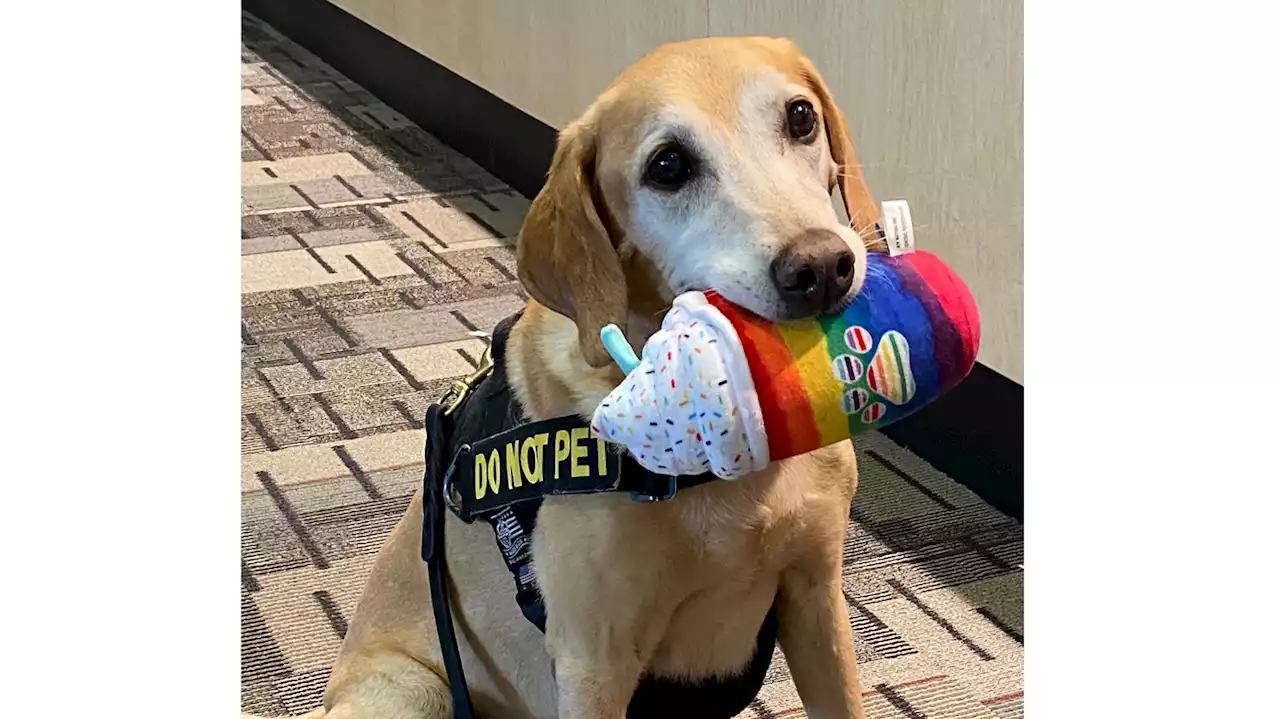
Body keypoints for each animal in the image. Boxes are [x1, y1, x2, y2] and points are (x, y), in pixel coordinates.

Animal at [244, 36, 885, 716]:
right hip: (415, 690)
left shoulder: (817, 599)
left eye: (800, 117)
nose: (822, 267)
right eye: (667, 166)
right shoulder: (593, 665)